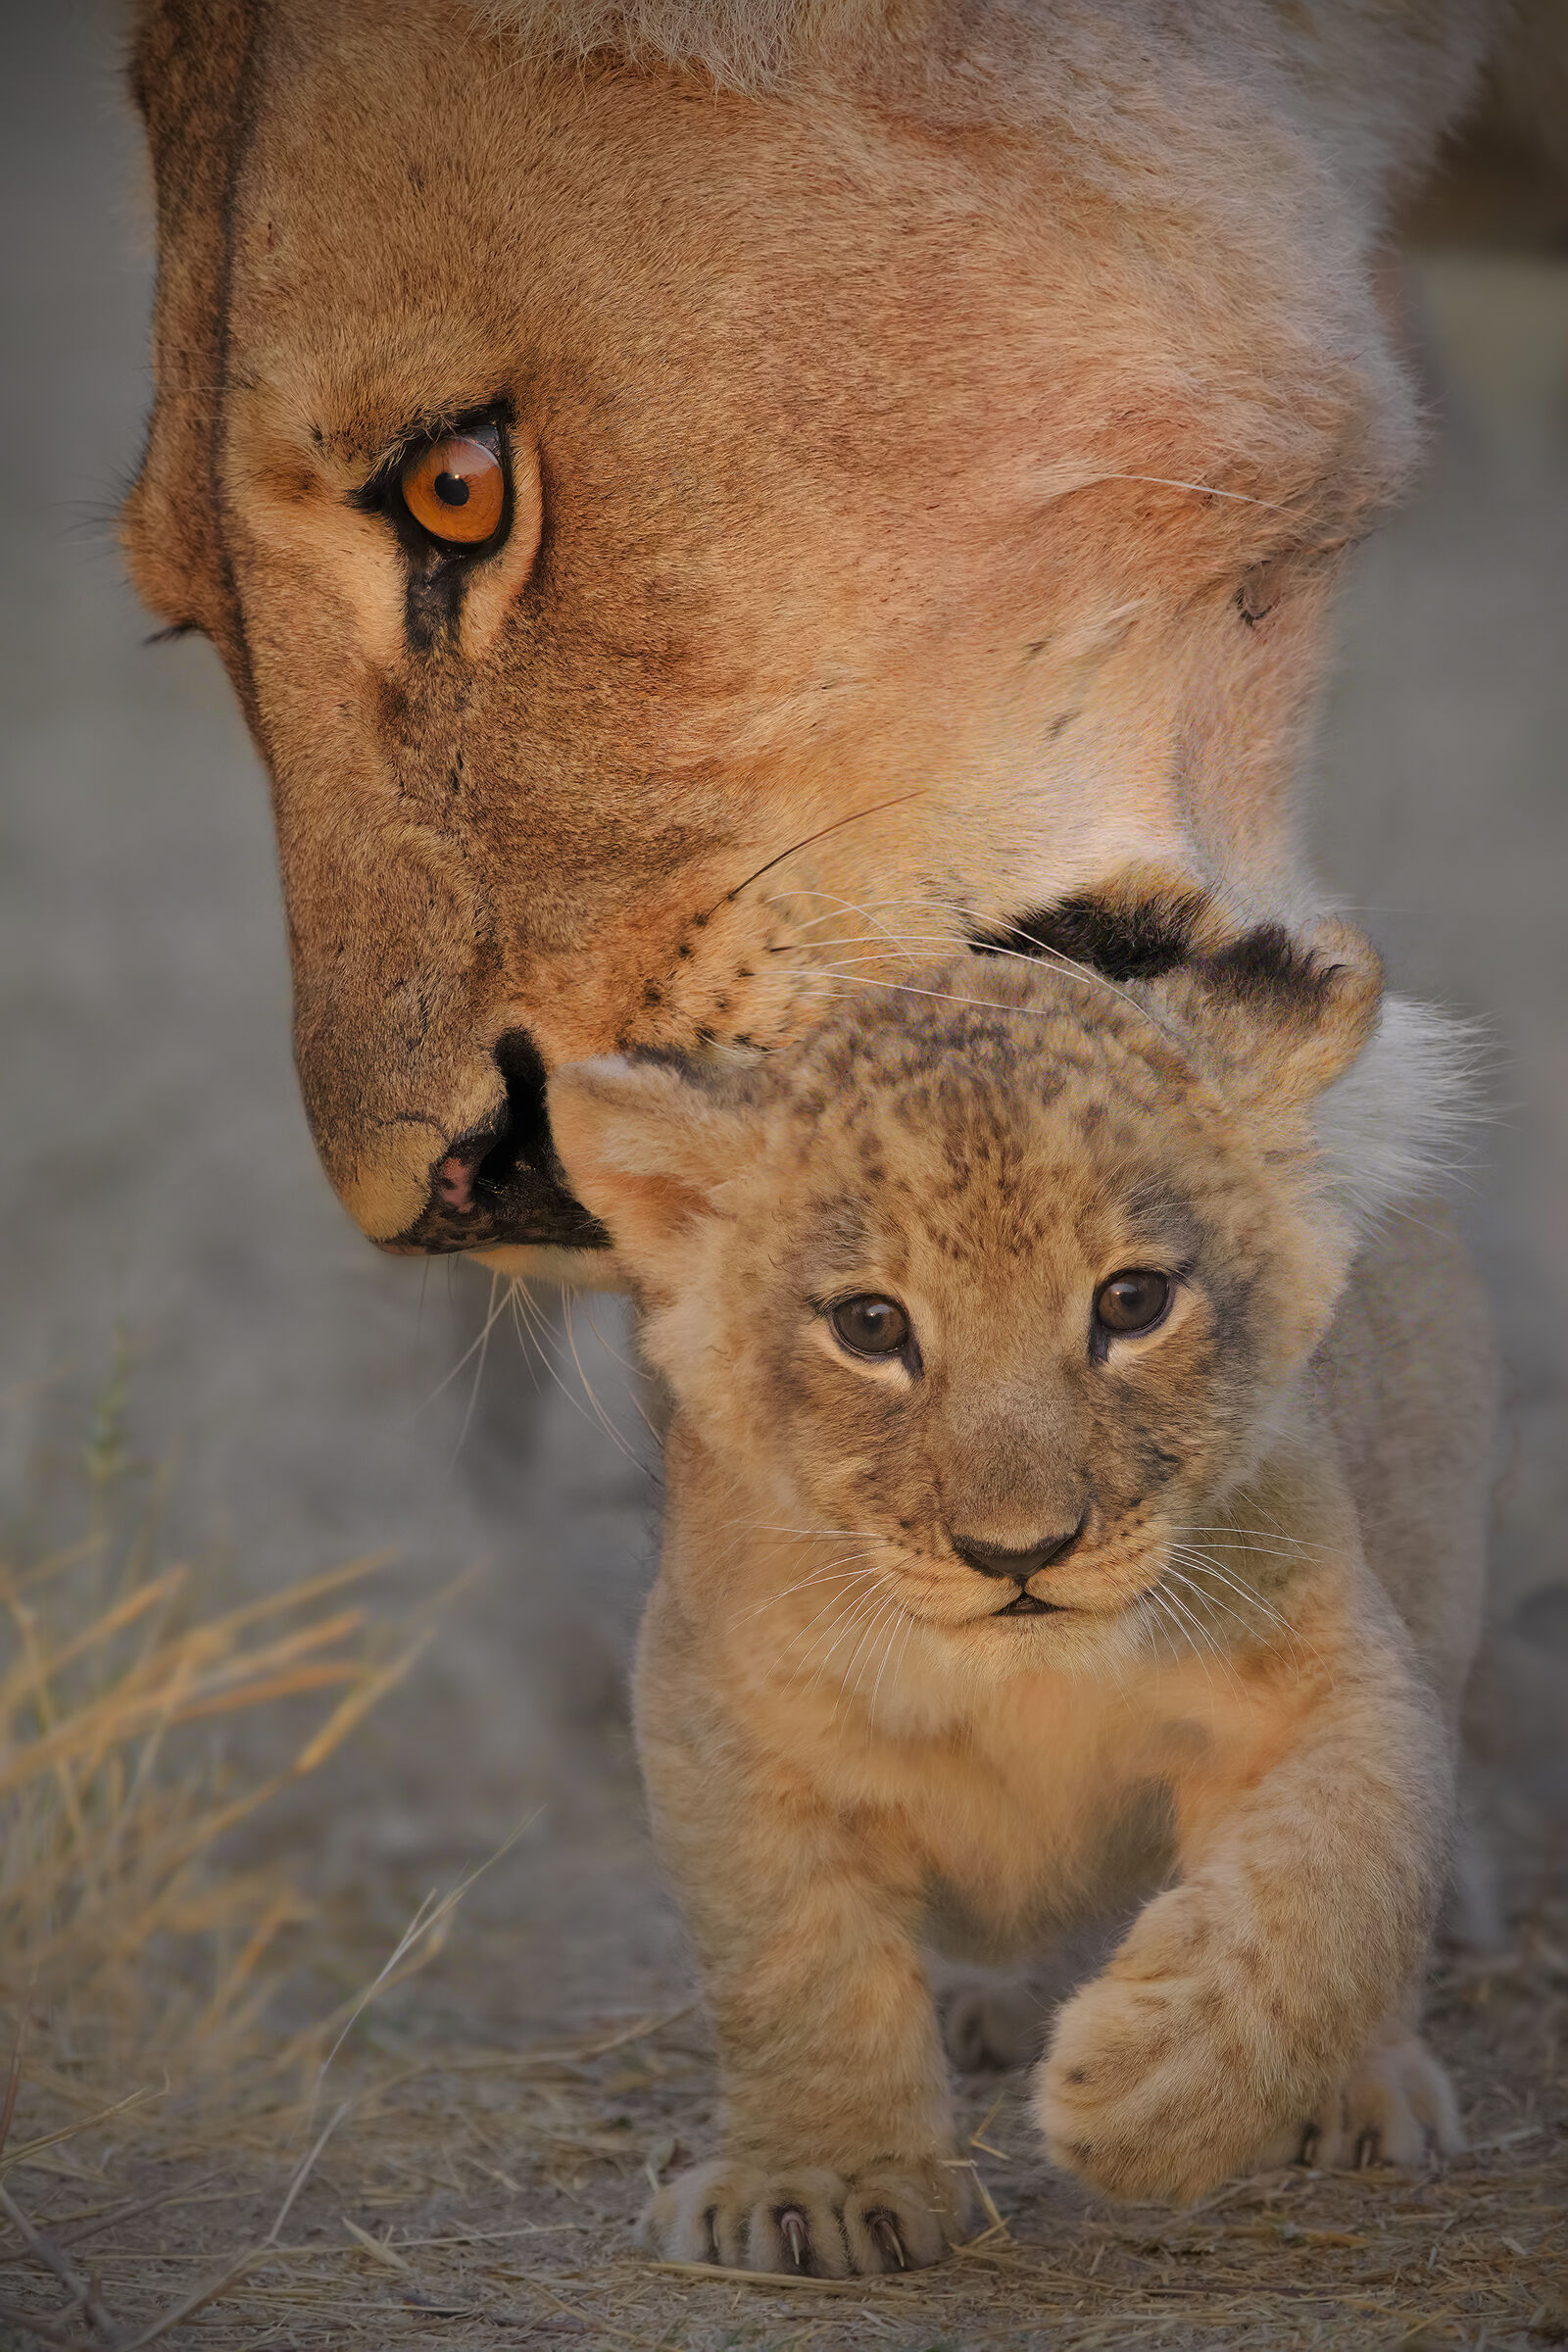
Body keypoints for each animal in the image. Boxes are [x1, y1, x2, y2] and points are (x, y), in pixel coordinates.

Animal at [542, 904, 1493, 2273]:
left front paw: (1152, 2090)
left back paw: (1361, 2089)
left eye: (1132, 1302)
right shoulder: (720, 1712)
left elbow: (1329, 1888)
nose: (1017, 1554)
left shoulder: (1331, 1677)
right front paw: (818, 2189)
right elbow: (793, 1966)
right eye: (870, 1326)